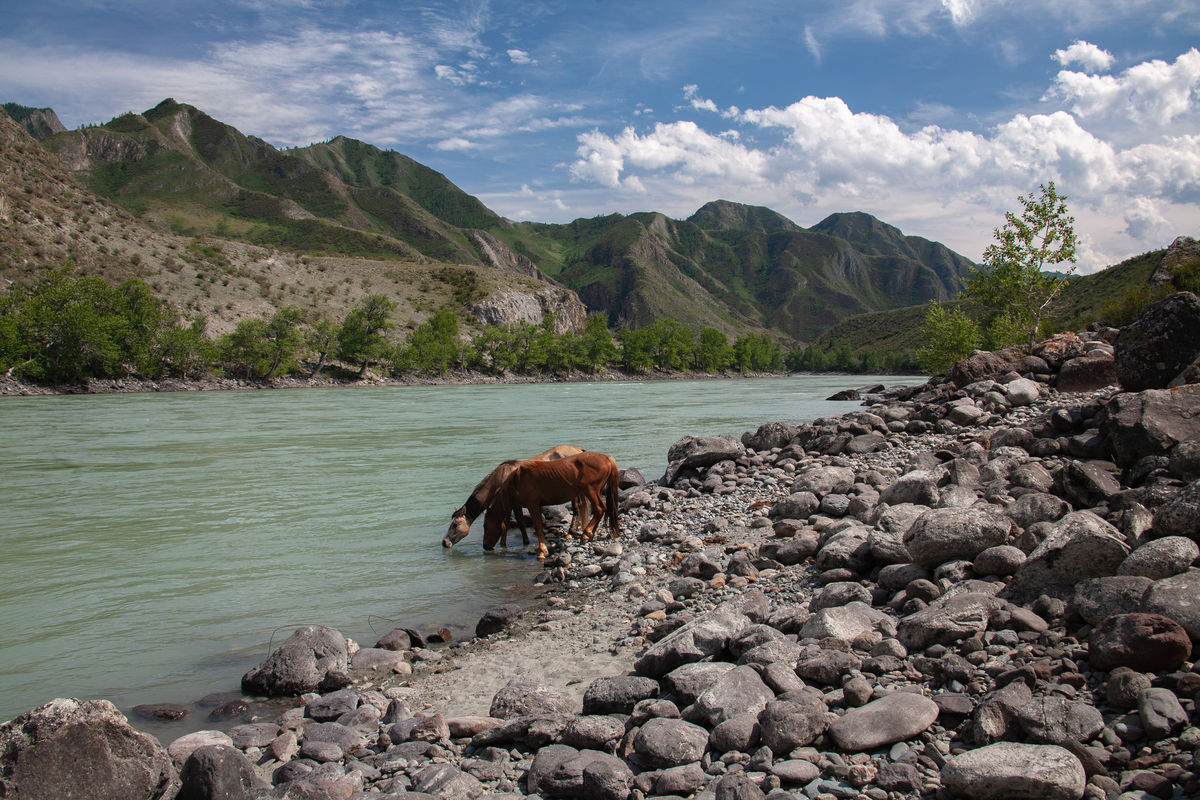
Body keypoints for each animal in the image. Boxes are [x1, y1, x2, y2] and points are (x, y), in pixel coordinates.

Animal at [444, 443, 588, 551]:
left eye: (455, 524)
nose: (444, 542)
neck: (499, 482)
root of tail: (579, 450)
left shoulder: (512, 503)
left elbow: (513, 520)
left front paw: (510, 542)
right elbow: (514, 520)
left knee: (577, 507)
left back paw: (571, 532)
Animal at [484, 453, 624, 561]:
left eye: (485, 526)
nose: (485, 546)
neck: (517, 481)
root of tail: (607, 458)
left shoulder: (532, 505)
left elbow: (538, 527)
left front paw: (542, 551)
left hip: (591, 490)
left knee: (600, 509)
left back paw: (586, 534)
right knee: (600, 510)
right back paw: (590, 534)